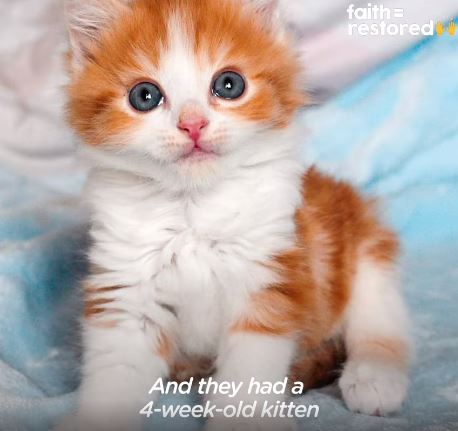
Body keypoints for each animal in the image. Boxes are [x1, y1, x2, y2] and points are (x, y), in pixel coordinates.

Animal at [60, 0, 412, 430]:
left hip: (360, 240)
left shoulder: (270, 272)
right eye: (144, 95)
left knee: (378, 316)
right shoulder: (127, 286)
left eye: (229, 85)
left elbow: (252, 363)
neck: (192, 210)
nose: (193, 124)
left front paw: (245, 417)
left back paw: (375, 376)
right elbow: (117, 367)